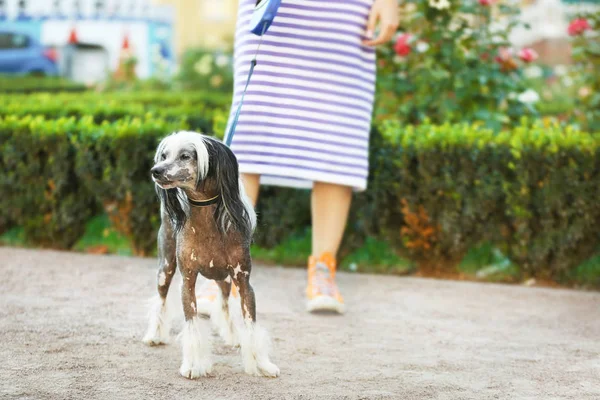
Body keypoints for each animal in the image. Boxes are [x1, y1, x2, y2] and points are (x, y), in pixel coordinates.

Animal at [142, 130, 280, 378]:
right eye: (164, 155)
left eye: (185, 156)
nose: (155, 170)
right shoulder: (187, 280)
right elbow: (192, 325)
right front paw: (193, 366)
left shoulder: (243, 281)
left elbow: (251, 325)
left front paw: (261, 364)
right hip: (165, 268)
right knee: (161, 300)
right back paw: (155, 335)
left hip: (224, 279)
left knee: (224, 303)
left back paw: (233, 336)